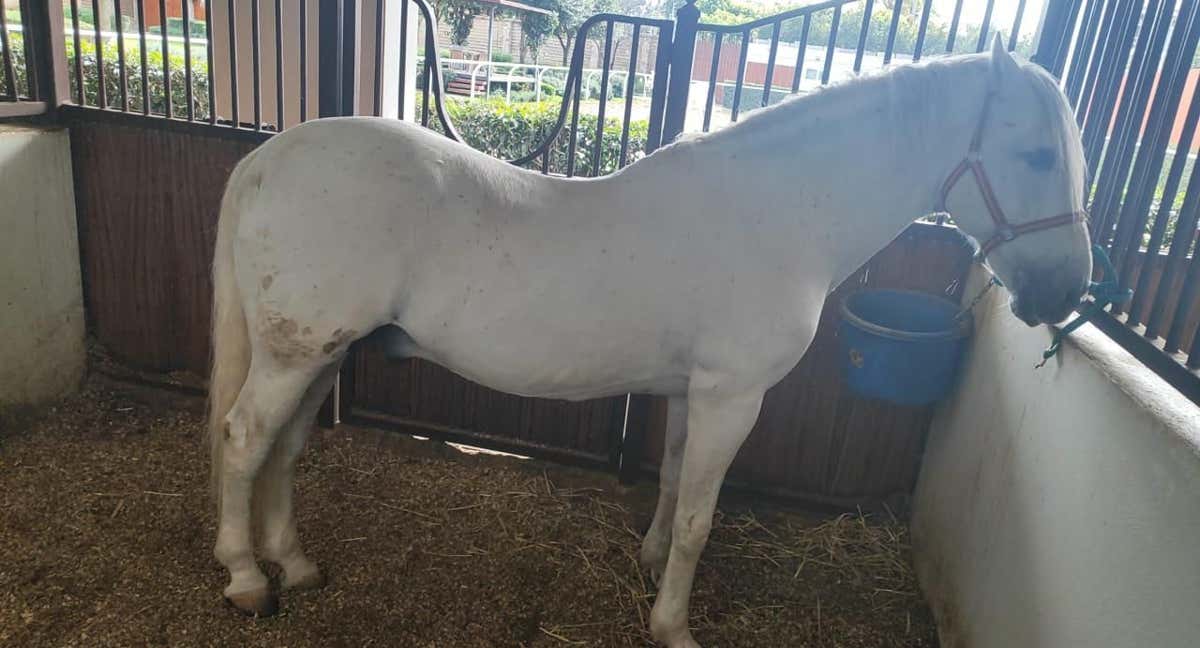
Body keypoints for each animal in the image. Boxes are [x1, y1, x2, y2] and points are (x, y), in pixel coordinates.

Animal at [207, 38, 1091, 647]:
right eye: (1037, 153)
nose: (1067, 293)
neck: (776, 214)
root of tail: (268, 156)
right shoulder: (735, 396)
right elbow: (703, 516)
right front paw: (674, 625)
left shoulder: (690, 390)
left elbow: (671, 481)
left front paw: (651, 561)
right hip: (295, 354)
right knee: (245, 440)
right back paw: (247, 579)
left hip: (321, 354)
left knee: (284, 448)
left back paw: (296, 563)